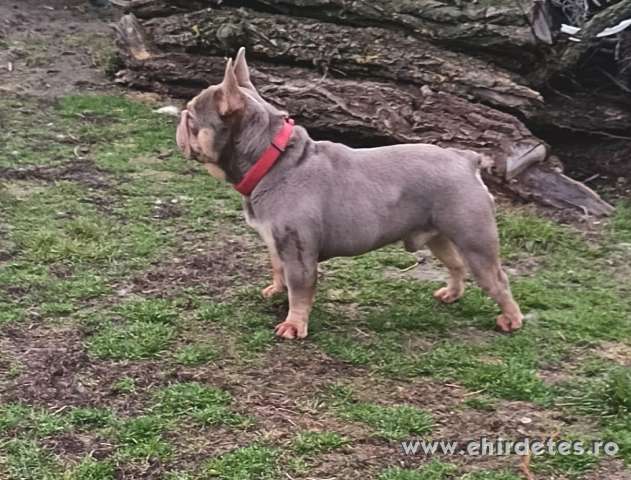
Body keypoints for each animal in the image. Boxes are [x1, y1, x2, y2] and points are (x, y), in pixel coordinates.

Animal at [176, 48, 523, 339]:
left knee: (497, 279)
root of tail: (466, 159)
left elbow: (299, 287)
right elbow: (278, 269)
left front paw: (294, 324)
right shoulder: (277, 243)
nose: (179, 118)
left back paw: (511, 319)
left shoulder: (298, 250)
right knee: (455, 264)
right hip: (439, 235)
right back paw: (451, 294)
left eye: (191, 118)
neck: (273, 158)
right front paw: (275, 291)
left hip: (474, 239)